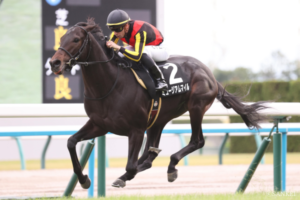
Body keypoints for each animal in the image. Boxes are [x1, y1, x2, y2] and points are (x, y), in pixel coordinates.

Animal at [49, 19, 268, 189]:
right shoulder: (99, 124)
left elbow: (131, 166)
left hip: (196, 107)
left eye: (76, 39)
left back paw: (171, 166)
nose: (54, 63)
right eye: (61, 38)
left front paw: (123, 177)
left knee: (197, 141)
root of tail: (209, 73)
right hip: (158, 119)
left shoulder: (136, 129)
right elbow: (71, 142)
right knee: (151, 152)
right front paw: (84, 179)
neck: (110, 84)